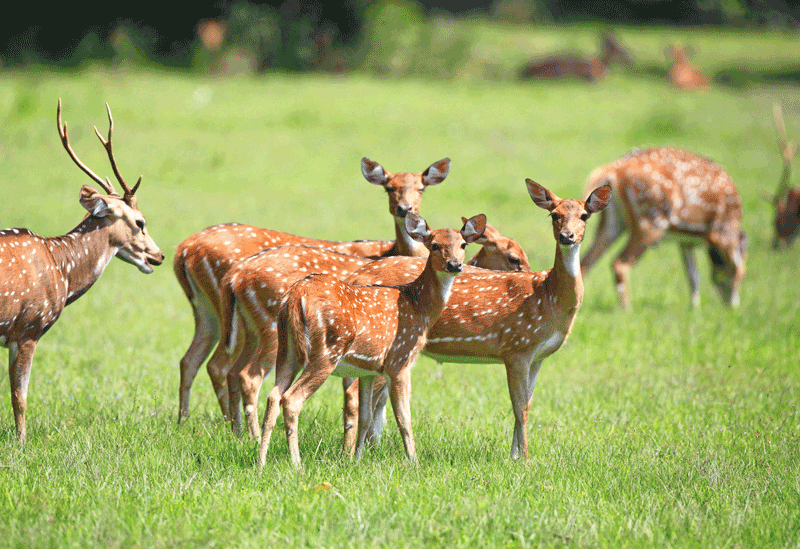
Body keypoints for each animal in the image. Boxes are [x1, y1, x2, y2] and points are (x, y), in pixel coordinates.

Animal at [0, 98, 164, 440]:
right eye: (140, 222)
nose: (159, 255)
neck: (60, 271)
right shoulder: (29, 326)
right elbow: (19, 396)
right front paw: (21, 443)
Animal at [173, 156, 454, 422]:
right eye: (389, 188)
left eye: (421, 188)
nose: (404, 209)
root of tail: (183, 250)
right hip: (266, 326)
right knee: (233, 370)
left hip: (209, 312)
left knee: (194, 361)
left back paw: (194, 422)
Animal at [260, 214, 484, 466]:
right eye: (434, 245)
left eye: (463, 244)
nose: (454, 265)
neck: (419, 306)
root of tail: (296, 296)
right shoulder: (400, 359)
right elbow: (404, 418)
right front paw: (414, 462)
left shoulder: (368, 369)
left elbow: (366, 418)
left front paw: (356, 459)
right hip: (327, 350)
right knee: (291, 399)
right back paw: (297, 465)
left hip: (286, 349)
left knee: (272, 397)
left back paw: (261, 462)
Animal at [346, 180, 612, 458]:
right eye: (554, 215)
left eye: (584, 215)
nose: (567, 236)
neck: (549, 296)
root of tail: (355, 276)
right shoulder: (517, 346)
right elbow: (521, 408)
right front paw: (525, 459)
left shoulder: (538, 356)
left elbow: (526, 403)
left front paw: (514, 456)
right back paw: (350, 453)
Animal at [580, 146, 748, 308]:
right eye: (742, 275)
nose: (732, 305)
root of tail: (611, 169)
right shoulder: (720, 231)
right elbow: (731, 265)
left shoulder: (686, 241)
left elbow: (693, 274)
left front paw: (694, 308)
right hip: (650, 220)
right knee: (619, 263)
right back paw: (626, 308)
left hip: (613, 222)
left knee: (585, 262)